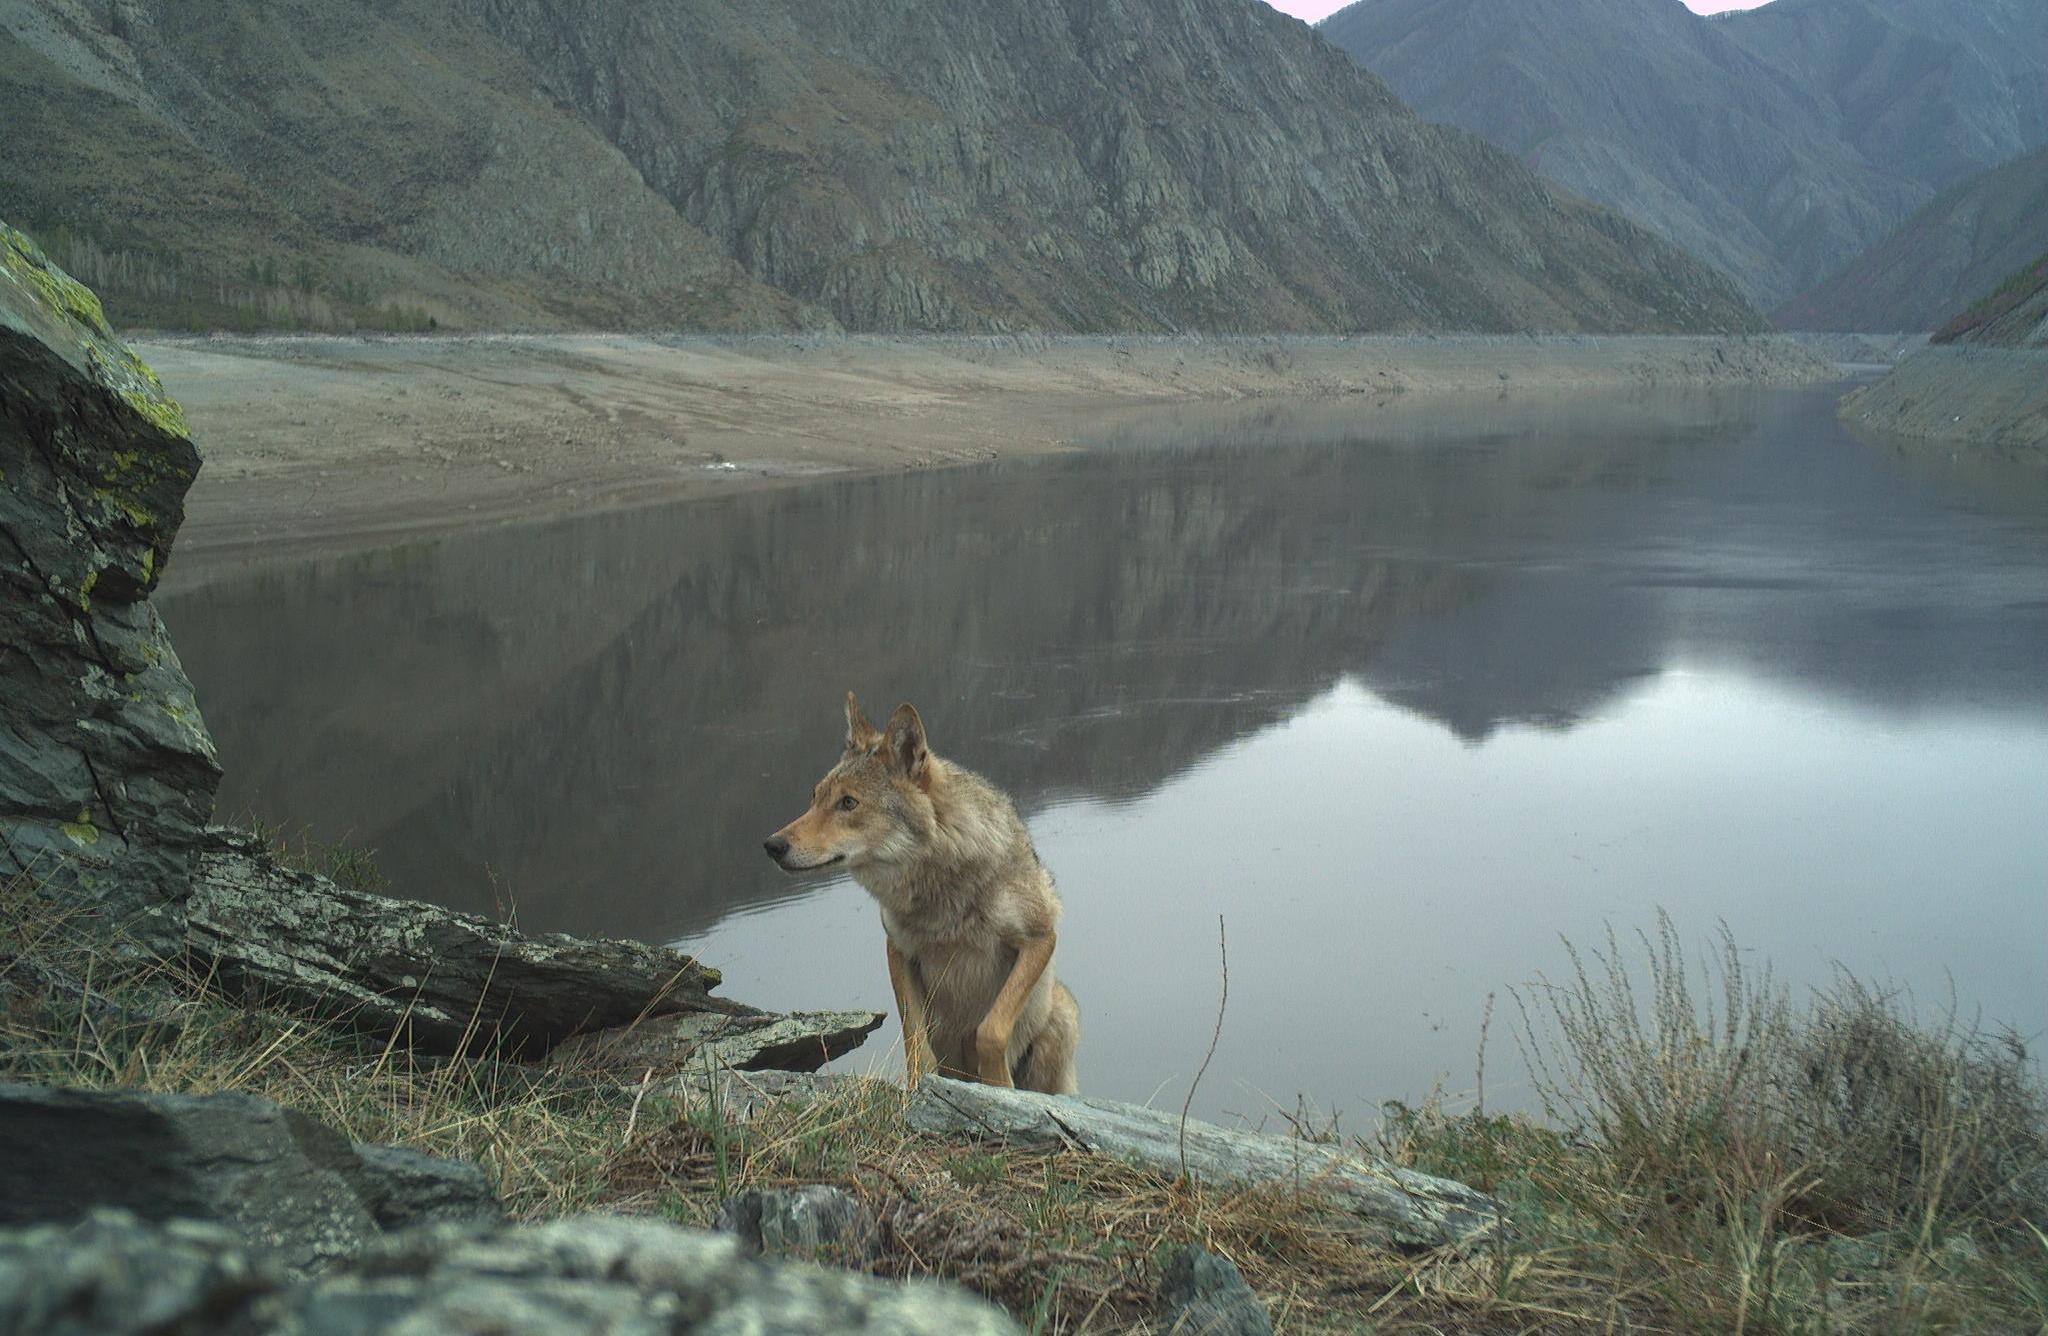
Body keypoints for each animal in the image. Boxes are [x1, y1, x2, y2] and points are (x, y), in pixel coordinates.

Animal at [765, 692, 1081, 1090]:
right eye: (815, 796)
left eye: (848, 803)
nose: (772, 845)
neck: (941, 892)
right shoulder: (899, 949)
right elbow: (914, 1038)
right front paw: (916, 1087)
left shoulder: (1039, 939)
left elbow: (991, 1030)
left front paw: (999, 1084)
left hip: (1063, 1015)